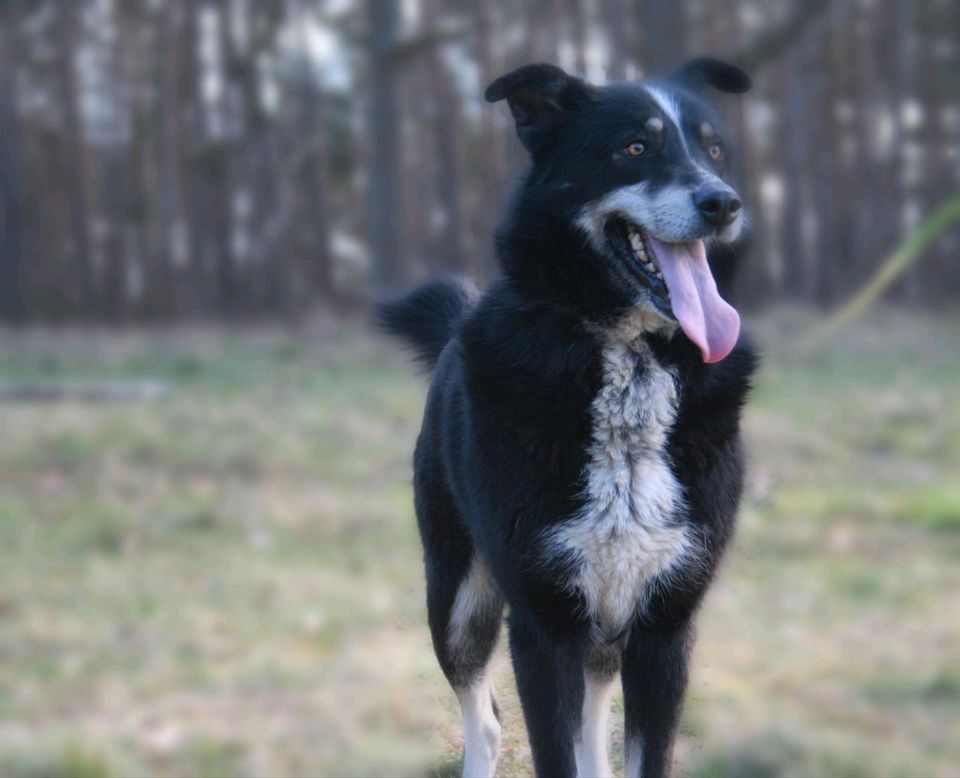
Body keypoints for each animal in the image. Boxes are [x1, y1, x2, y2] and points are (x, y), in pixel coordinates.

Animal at [376, 57, 756, 772]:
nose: (723, 203)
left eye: (715, 149)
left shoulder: (664, 627)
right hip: (458, 600)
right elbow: (550, 747)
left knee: (590, 723)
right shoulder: (541, 625)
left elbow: (634, 751)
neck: (629, 363)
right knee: (486, 720)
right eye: (634, 148)